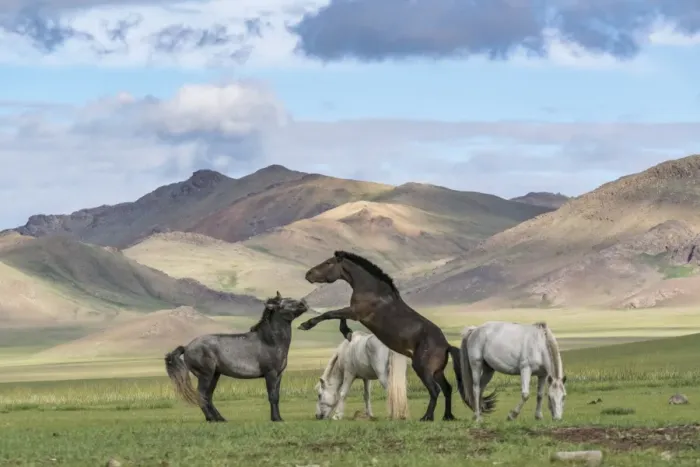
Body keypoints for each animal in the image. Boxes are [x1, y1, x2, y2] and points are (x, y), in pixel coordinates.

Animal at [164, 291, 309, 422]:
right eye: (286, 302)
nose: (304, 304)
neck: (269, 341)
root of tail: (187, 347)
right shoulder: (271, 374)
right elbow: (272, 396)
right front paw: (276, 419)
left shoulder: (279, 375)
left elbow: (277, 396)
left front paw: (279, 417)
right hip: (205, 375)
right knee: (202, 395)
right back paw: (210, 418)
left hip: (214, 375)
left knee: (208, 396)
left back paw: (219, 418)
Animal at [297, 250, 497, 421]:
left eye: (328, 263)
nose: (308, 274)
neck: (372, 290)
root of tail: (446, 345)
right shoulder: (354, 313)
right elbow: (337, 316)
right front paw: (347, 333)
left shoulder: (356, 312)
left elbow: (330, 313)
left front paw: (306, 325)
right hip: (437, 371)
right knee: (447, 389)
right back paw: (447, 416)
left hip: (422, 368)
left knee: (435, 390)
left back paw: (427, 417)